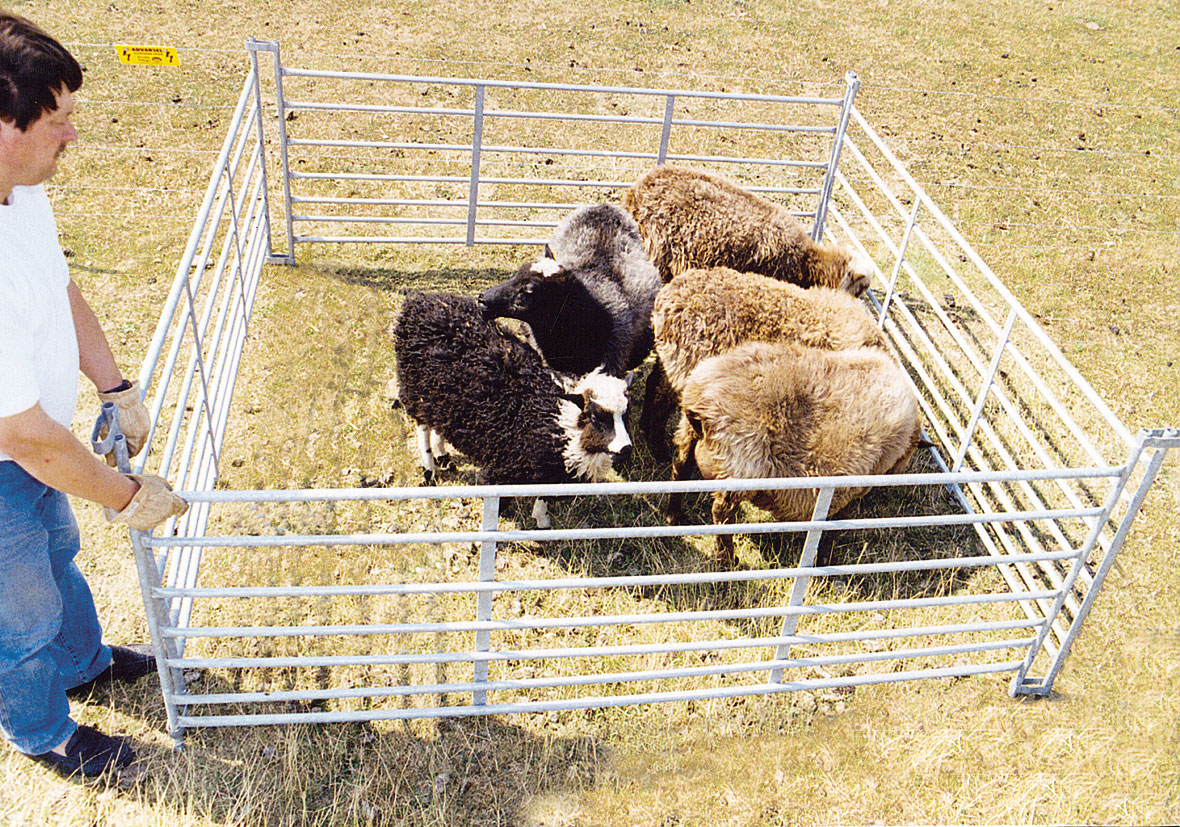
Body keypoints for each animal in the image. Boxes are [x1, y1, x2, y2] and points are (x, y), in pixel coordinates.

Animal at [394, 286, 637, 526]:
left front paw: (541, 521)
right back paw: (429, 469)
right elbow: (498, 500)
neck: (557, 422)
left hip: (440, 398)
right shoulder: (503, 470)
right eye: (595, 417)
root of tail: (418, 300)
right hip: (416, 389)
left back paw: (442, 454)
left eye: (626, 415)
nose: (626, 448)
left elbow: (543, 499)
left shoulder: (550, 476)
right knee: (423, 429)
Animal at [641, 266, 887, 455]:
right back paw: (658, 449)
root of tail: (666, 300)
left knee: (654, 385)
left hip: (670, 362)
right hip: (685, 368)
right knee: (663, 404)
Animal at [674, 339, 920, 563]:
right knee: (721, 513)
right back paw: (727, 559)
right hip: (740, 467)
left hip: (689, 436)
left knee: (681, 468)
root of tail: (701, 403)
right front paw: (825, 558)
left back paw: (674, 517)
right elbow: (837, 522)